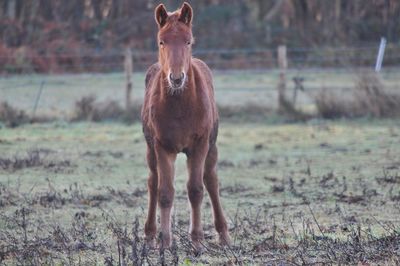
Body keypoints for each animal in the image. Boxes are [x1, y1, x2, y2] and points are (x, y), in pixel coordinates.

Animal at [143, 3, 231, 250]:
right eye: (161, 41)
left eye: (188, 41)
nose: (176, 78)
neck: (181, 107)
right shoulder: (163, 147)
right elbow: (165, 192)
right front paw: (165, 242)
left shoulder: (199, 145)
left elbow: (196, 189)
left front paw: (198, 240)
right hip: (151, 149)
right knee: (153, 181)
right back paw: (150, 234)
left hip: (211, 146)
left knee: (211, 179)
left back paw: (224, 234)